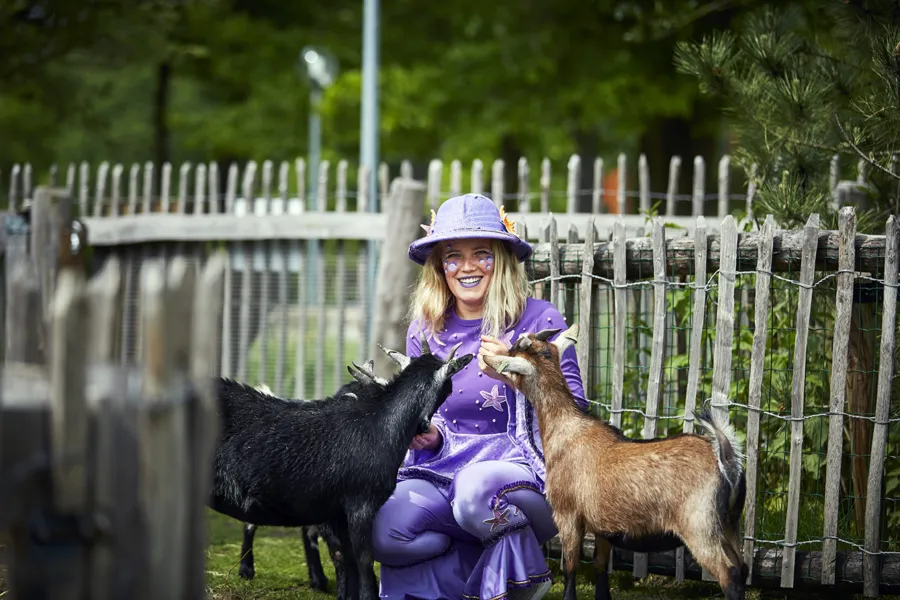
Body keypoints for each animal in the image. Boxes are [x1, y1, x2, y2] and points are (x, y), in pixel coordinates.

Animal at [206, 338, 472, 600]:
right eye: (449, 386)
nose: (424, 427)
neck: (378, 424)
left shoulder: (335, 511)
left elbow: (344, 557)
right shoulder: (360, 504)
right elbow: (363, 560)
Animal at [488, 324, 748, 600]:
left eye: (513, 354)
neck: (566, 430)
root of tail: (725, 457)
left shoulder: (567, 514)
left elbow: (571, 568)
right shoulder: (605, 528)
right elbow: (600, 567)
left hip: (700, 526)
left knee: (729, 573)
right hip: (729, 524)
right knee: (742, 568)